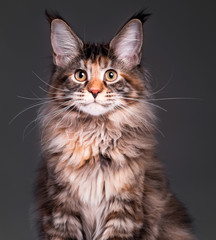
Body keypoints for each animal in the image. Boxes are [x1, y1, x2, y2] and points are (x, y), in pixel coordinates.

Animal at [34, 10, 195, 239]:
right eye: (80, 75)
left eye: (111, 75)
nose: (94, 91)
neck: (94, 137)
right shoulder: (61, 212)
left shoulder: (123, 211)